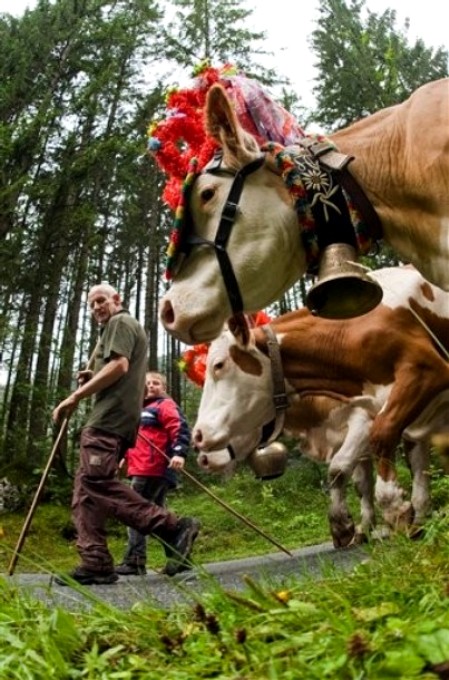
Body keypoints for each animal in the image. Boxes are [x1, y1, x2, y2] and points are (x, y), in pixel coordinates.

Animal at [192, 266, 448, 548]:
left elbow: (358, 452)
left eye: (218, 365)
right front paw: (354, 527)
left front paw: (393, 508)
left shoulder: (421, 373)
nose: (198, 439)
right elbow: (359, 481)